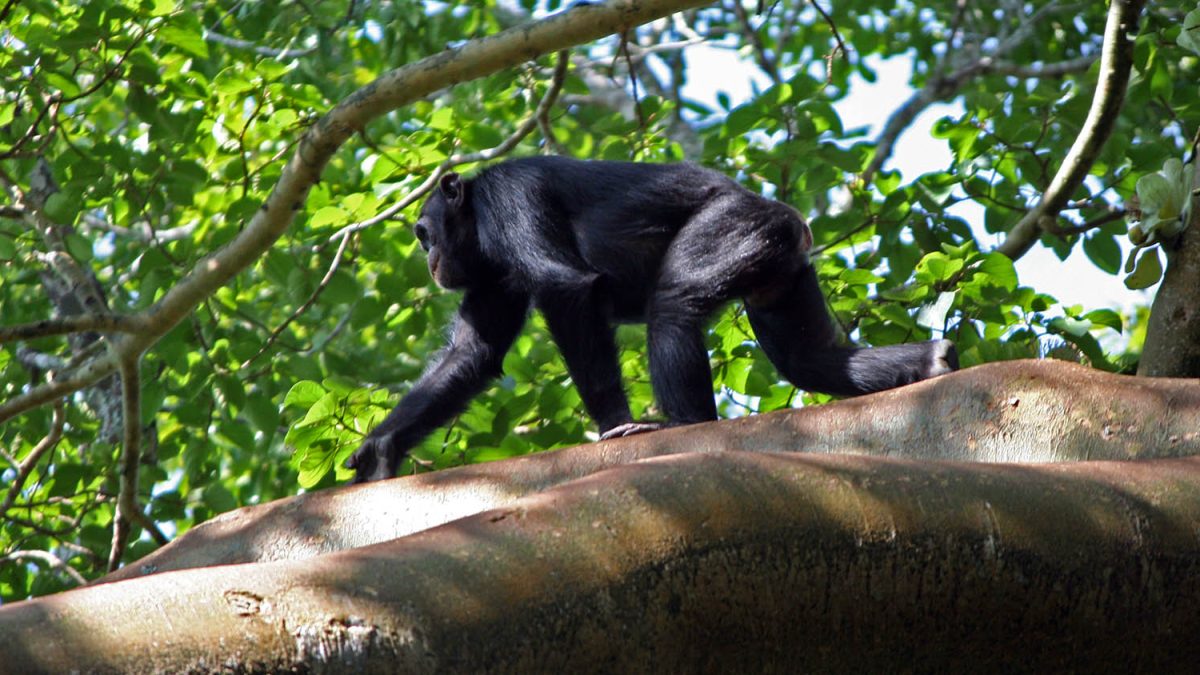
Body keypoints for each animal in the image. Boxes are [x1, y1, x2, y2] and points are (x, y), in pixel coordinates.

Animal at [345, 156, 955, 482]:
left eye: (423, 231)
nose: (428, 256)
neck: (476, 219)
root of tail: (791, 219)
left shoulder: (511, 198)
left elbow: (565, 288)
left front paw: (614, 425)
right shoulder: (490, 278)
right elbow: (471, 355)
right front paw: (381, 448)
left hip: (734, 227)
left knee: (674, 305)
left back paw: (683, 424)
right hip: (779, 273)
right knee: (808, 357)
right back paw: (932, 359)